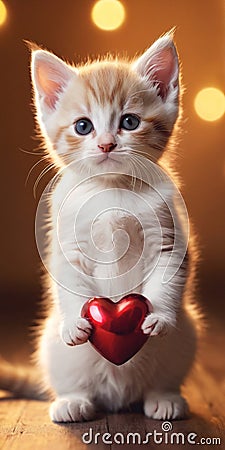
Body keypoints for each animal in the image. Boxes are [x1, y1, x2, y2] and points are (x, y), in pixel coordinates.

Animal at [0, 32, 198, 422]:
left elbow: (169, 272)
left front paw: (158, 317)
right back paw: (72, 401)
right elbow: (69, 277)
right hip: (51, 345)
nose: (107, 144)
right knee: (74, 383)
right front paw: (77, 323)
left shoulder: (169, 236)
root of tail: (119, 399)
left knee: (163, 376)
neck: (112, 189)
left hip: (187, 336)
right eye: (83, 126)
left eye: (130, 122)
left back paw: (164, 398)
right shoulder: (67, 244)